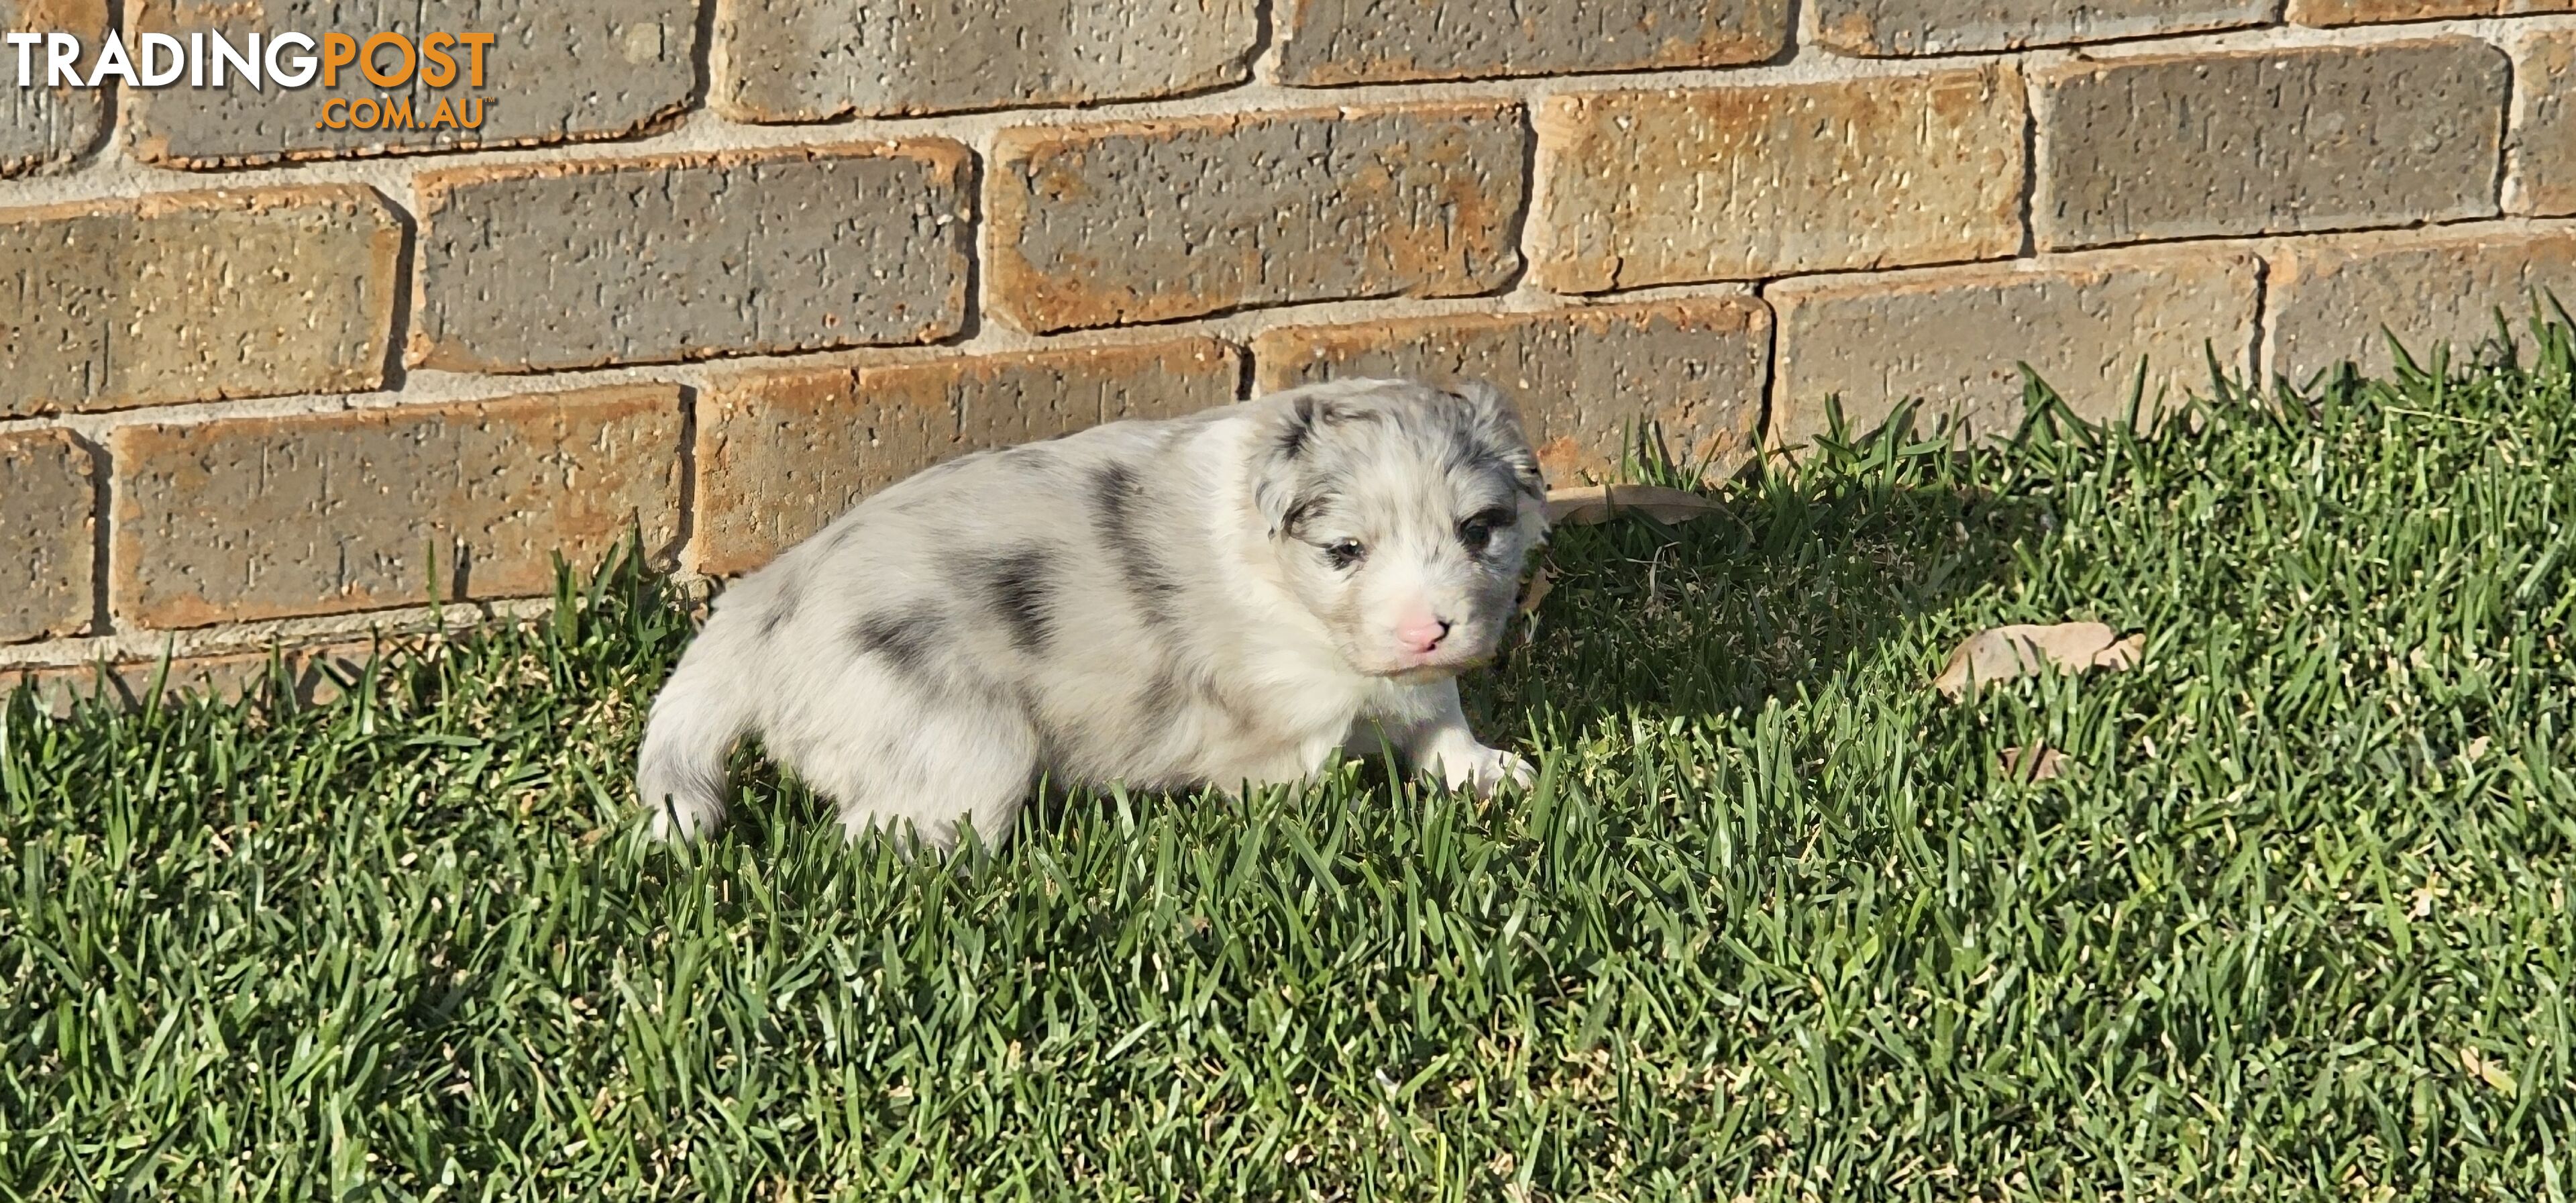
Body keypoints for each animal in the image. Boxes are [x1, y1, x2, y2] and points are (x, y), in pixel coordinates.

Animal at [636, 378, 1546, 855]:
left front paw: (1490, 770)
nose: (1429, 629)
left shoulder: (1419, 681)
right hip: (962, 745)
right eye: (1345, 550)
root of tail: (762, 605)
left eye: (1479, 530)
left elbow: (1442, 717)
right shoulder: (1277, 725)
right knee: (875, 831)